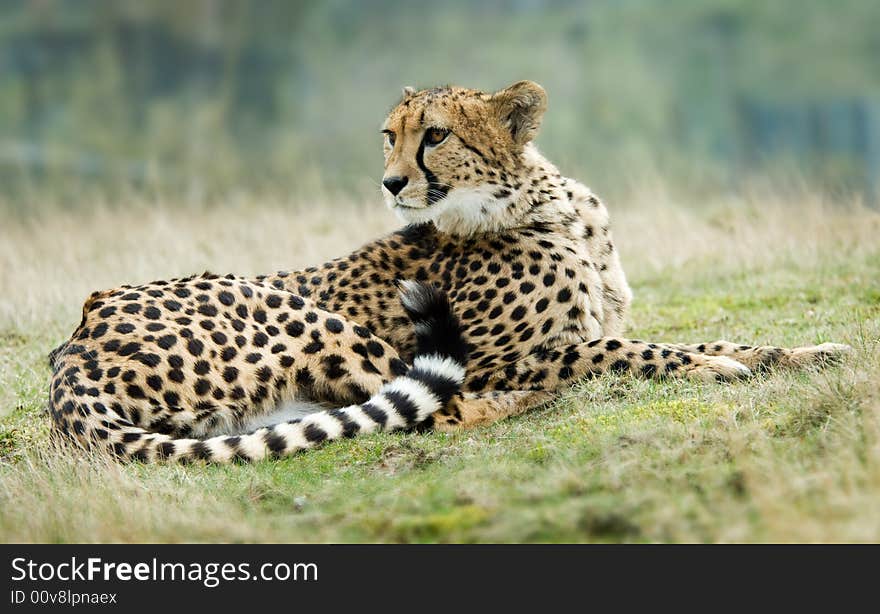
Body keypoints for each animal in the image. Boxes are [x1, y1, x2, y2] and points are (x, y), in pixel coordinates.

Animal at [46, 79, 844, 462]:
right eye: (388, 136)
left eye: (434, 135)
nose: (392, 183)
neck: (542, 205)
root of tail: (76, 342)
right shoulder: (498, 355)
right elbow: (620, 349)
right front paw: (710, 369)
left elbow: (703, 337)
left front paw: (801, 352)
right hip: (306, 315)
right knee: (440, 410)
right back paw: (529, 402)